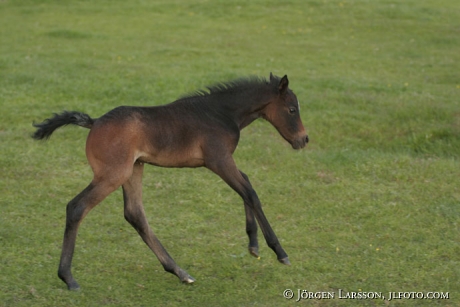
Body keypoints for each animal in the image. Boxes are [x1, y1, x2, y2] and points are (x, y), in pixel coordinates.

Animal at [32, 73, 310, 290]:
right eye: (292, 109)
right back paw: (68, 278)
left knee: (135, 214)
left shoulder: (221, 161)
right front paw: (279, 252)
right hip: (113, 174)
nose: (304, 139)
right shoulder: (218, 160)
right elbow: (250, 192)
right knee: (77, 207)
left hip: (134, 170)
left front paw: (253, 244)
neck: (221, 112)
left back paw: (180, 272)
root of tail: (95, 122)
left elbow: (246, 186)